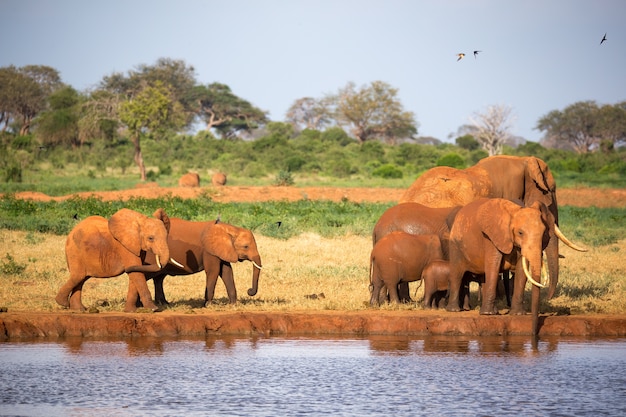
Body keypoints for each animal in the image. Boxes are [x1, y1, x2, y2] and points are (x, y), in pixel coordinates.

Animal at [54, 208, 182, 312]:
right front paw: (153, 309)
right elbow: (136, 273)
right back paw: (63, 303)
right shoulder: (125, 247)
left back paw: (79, 309)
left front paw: (130, 311)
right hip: (75, 252)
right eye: (150, 238)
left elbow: (135, 271)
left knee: (81, 279)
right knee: (78, 276)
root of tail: (71, 231)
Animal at [127, 218, 260, 306]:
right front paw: (208, 305)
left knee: (159, 278)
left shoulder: (221, 251)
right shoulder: (208, 251)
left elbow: (226, 272)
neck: (229, 228)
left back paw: (163, 304)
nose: (249, 291)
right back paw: (140, 305)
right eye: (246, 246)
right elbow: (213, 271)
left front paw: (233, 305)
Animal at [446, 198, 548, 334]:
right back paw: (455, 310)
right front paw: (487, 314)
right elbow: (493, 264)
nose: (534, 333)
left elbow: (521, 270)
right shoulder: (491, 237)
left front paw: (517, 314)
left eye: (543, 232)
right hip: (456, 245)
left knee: (484, 277)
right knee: (457, 275)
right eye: (520, 233)